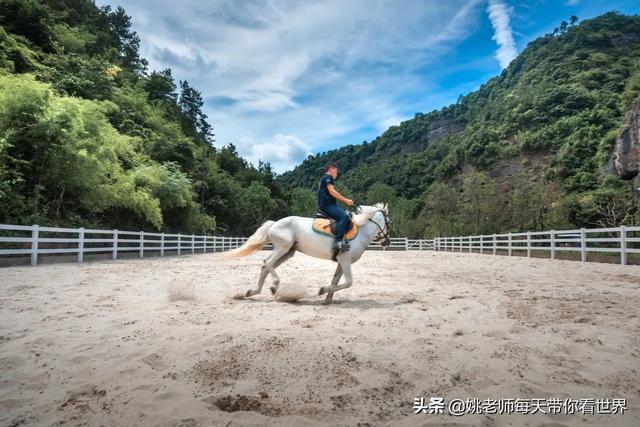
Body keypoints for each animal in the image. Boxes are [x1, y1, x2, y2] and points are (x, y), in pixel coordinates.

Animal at [224, 204, 390, 304]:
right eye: (389, 222)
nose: (387, 242)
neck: (361, 232)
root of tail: (274, 223)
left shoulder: (341, 262)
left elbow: (336, 281)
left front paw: (327, 300)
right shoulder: (345, 259)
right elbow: (348, 282)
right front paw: (322, 291)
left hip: (288, 252)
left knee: (265, 266)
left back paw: (252, 292)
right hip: (282, 248)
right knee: (268, 263)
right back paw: (274, 287)